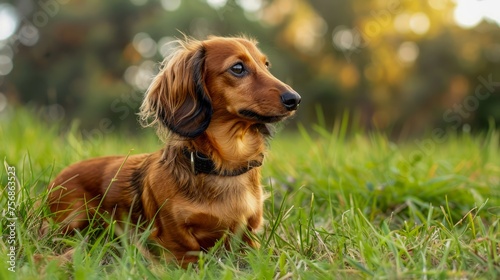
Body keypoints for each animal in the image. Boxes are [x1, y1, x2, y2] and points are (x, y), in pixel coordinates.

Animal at [47, 36, 300, 266]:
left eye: (266, 65)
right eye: (238, 68)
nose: (295, 99)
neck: (223, 167)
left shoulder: (250, 233)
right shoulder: (175, 238)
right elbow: (187, 254)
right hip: (75, 218)